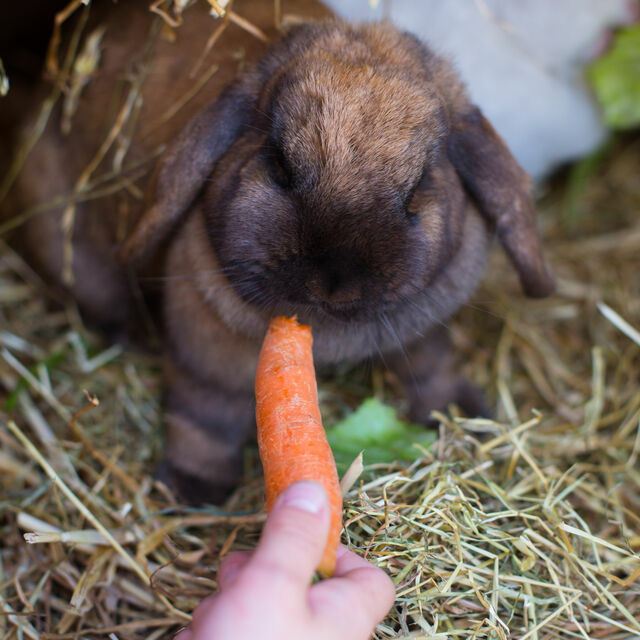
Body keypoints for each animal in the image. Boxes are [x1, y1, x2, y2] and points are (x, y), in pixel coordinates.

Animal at [0, 0, 552, 502]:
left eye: (418, 187)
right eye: (280, 165)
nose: (333, 281)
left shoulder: (424, 330)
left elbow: (432, 364)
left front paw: (462, 414)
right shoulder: (209, 357)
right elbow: (207, 414)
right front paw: (193, 488)